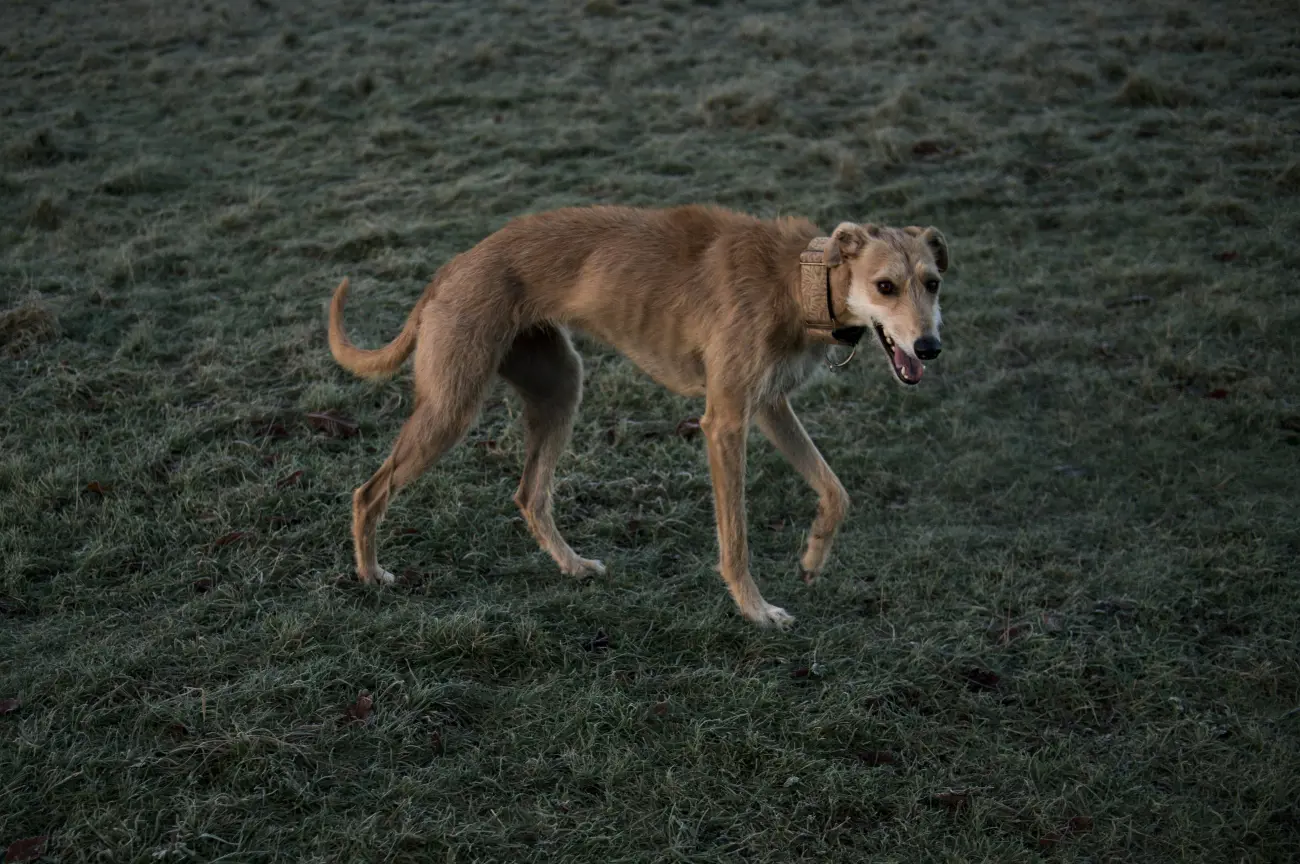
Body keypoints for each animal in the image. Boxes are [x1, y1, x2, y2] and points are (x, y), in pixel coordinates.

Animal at [330, 207, 951, 626]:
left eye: (933, 282)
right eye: (884, 286)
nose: (929, 349)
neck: (799, 278)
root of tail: (451, 269)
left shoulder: (770, 407)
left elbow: (836, 490)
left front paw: (813, 557)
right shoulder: (725, 423)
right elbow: (736, 539)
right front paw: (755, 610)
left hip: (560, 388)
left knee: (530, 495)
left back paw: (573, 566)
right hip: (451, 408)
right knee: (367, 492)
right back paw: (370, 575)